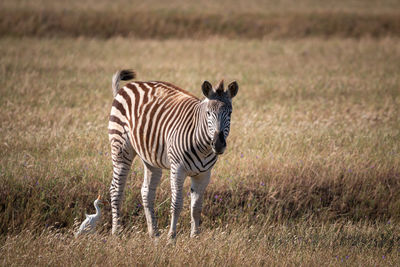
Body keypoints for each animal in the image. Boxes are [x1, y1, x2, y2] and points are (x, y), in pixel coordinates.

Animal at [108, 69, 238, 241]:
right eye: (209, 113)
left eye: (230, 113)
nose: (218, 144)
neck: (203, 147)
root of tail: (128, 86)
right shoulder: (178, 169)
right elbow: (177, 204)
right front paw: (172, 237)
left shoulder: (204, 174)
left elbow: (196, 207)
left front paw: (195, 237)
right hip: (121, 149)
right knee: (116, 189)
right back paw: (117, 232)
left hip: (151, 158)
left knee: (146, 192)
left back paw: (154, 233)